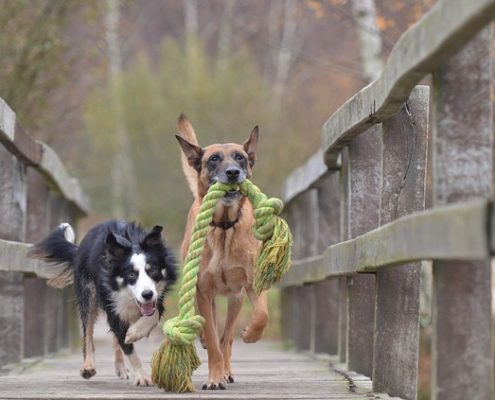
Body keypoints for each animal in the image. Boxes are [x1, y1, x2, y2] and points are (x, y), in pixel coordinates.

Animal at [30, 220, 177, 386]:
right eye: (131, 275)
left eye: (153, 270)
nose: (147, 294)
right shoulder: (111, 304)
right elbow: (127, 346)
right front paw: (142, 376)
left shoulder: (158, 297)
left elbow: (153, 314)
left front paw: (135, 332)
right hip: (87, 292)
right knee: (88, 332)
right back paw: (88, 366)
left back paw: (120, 365)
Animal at [174, 115, 268, 390]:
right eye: (214, 159)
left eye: (240, 157)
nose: (233, 172)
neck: (225, 226)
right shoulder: (203, 291)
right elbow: (214, 341)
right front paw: (214, 378)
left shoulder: (252, 283)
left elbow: (261, 314)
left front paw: (251, 334)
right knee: (215, 333)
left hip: (235, 299)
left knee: (227, 337)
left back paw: (228, 368)